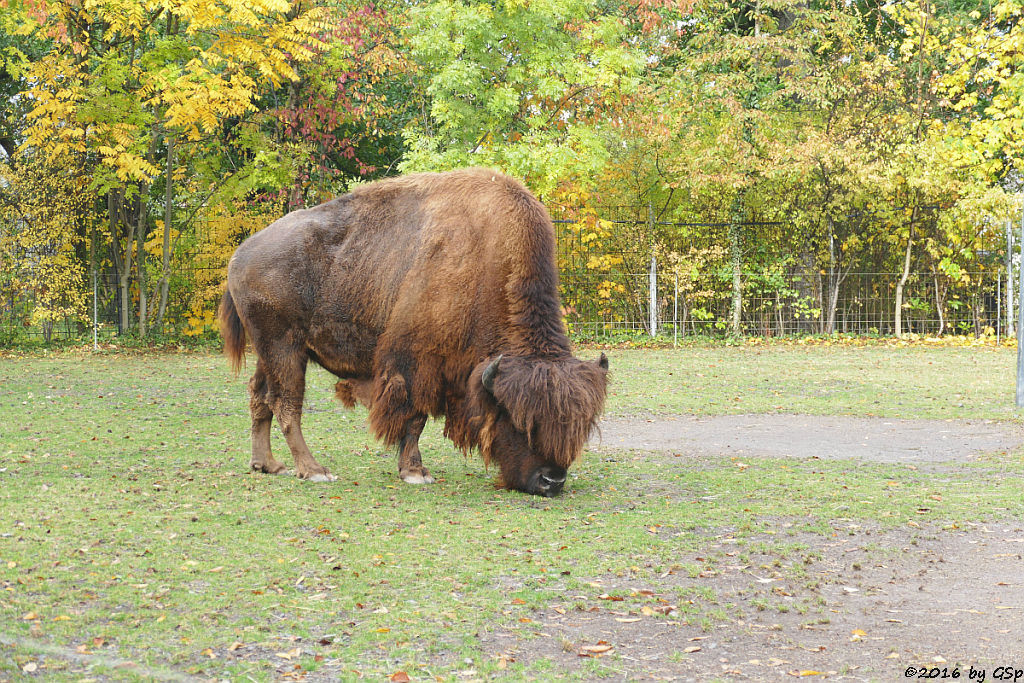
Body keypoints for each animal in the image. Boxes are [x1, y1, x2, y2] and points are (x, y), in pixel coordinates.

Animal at [218, 165, 606, 497]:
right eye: (519, 421)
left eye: (581, 426)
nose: (551, 481)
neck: (487, 262)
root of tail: (240, 254)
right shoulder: (417, 364)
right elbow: (414, 419)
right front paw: (416, 473)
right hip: (284, 349)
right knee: (286, 405)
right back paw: (314, 470)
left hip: (268, 352)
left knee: (259, 396)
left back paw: (267, 464)